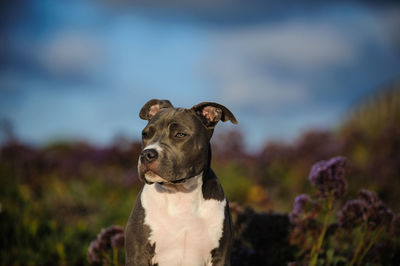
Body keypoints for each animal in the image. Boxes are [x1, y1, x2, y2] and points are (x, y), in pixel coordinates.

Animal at [125, 100, 238, 266]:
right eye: (145, 134)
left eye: (180, 134)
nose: (146, 154)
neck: (180, 194)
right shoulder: (138, 255)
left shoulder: (221, 257)